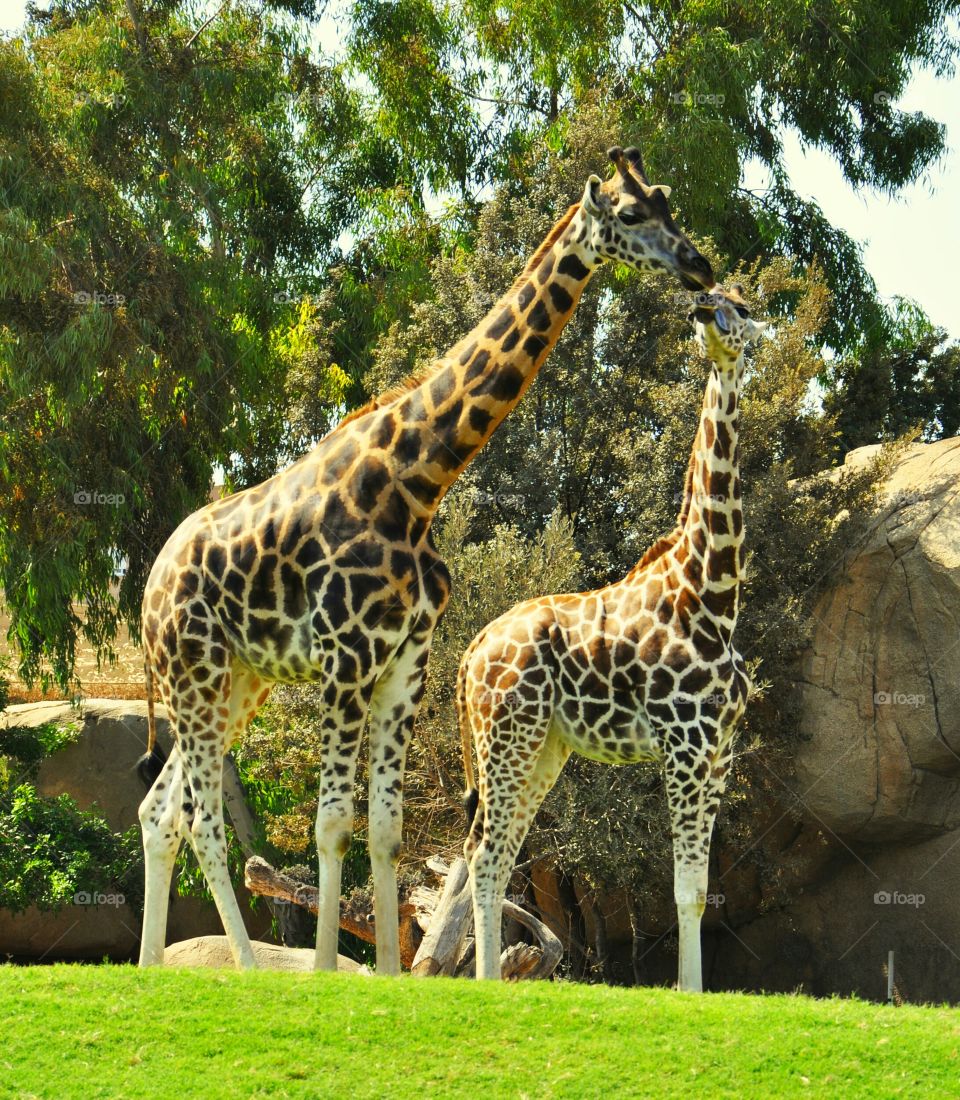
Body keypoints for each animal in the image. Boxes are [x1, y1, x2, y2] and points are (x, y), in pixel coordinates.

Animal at [138, 144, 716, 972]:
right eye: (633, 214)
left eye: (668, 199)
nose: (699, 265)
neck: (416, 482)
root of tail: (146, 589)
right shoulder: (346, 656)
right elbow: (331, 824)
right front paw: (326, 972)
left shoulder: (406, 657)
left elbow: (384, 828)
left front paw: (384, 974)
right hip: (196, 669)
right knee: (201, 820)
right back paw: (246, 969)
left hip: (238, 682)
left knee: (160, 811)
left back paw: (150, 968)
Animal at [459, 283, 769, 990]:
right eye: (713, 299)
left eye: (740, 308)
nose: (706, 315)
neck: (714, 596)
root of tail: (468, 657)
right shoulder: (684, 745)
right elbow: (683, 888)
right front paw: (687, 992)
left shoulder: (719, 752)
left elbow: (700, 889)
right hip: (507, 735)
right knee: (485, 853)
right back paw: (486, 984)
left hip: (543, 746)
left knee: (496, 850)